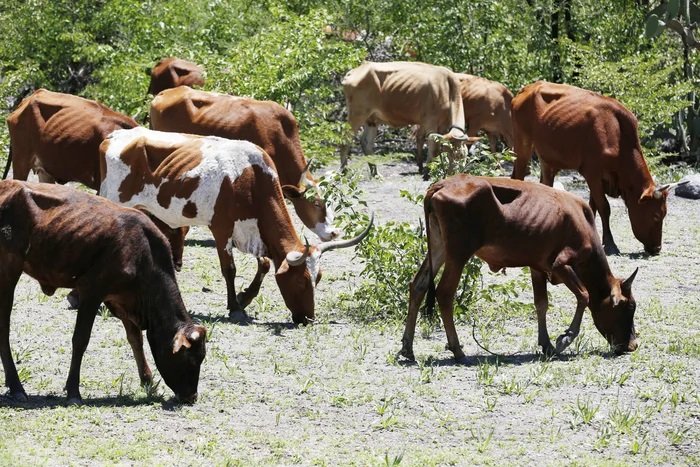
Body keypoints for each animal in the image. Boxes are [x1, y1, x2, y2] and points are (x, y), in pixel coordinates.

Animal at [0, 180, 206, 404]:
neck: (144, 252)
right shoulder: (91, 292)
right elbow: (80, 339)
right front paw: (73, 391)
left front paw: (147, 381)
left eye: (202, 357)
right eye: (190, 359)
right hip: (8, 273)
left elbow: (135, 338)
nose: (191, 396)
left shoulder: (121, 300)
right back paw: (16, 387)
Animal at [99, 127, 372, 323]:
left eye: (318, 278)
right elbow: (229, 269)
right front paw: (235, 307)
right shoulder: (221, 229)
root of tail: (114, 136)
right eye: (301, 280)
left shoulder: (254, 233)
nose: (308, 319)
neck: (250, 179)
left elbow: (264, 265)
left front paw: (244, 297)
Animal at [340, 61, 469, 174]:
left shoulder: (435, 125)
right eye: (451, 154)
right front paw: (428, 172)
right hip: (357, 114)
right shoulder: (430, 122)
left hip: (372, 119)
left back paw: (375, 173)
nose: (453, 173)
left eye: (462, 156)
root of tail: (352, 72)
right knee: (346, 140)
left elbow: (430, 144)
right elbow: (433, 148)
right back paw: (344, 171)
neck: (448, 88)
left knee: (366, 142)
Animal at [401, 175, 639, 363]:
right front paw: (565, 338)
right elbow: (584, 295)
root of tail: (441, 184)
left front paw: (546, 344)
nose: (632, 345)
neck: (582, 222)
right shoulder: (560, 265)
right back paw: (457, 350)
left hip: (439, 247)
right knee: (444, 293)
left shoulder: (538, 266)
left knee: (418, 285)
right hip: (458, 253)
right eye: (628, 307)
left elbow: (542, 303)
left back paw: (407, 348)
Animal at [511, 81, 672, 255]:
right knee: (518, 176)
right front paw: (610, 244)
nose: (657, 248)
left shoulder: (600, 178)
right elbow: (604, 207)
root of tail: (528, 87)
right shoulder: (592, 173)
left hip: (547, 157)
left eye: (665, 214)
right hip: (523, 145)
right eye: (656, 215)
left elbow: (591, 206)